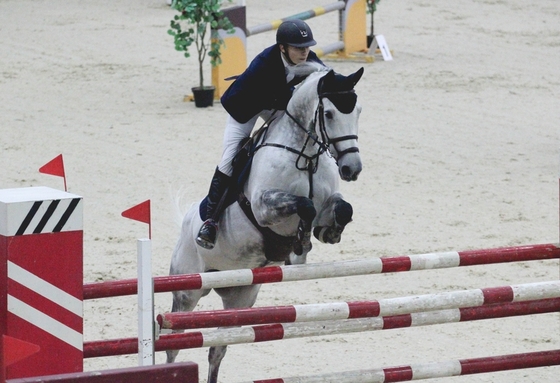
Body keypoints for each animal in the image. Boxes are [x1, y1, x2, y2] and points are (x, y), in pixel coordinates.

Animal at [166, 65, 366, 383]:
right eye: (330, 114)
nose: (351, 169)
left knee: (217, 350)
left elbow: (341, 209)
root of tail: (185, 224)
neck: (305, 154)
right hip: (187, 290)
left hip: (240, 298)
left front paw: (328, 233)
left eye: (358, 110)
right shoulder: (263, 207)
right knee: (174, 343)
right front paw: (300, 244)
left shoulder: (328, 205)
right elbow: (304, 205)